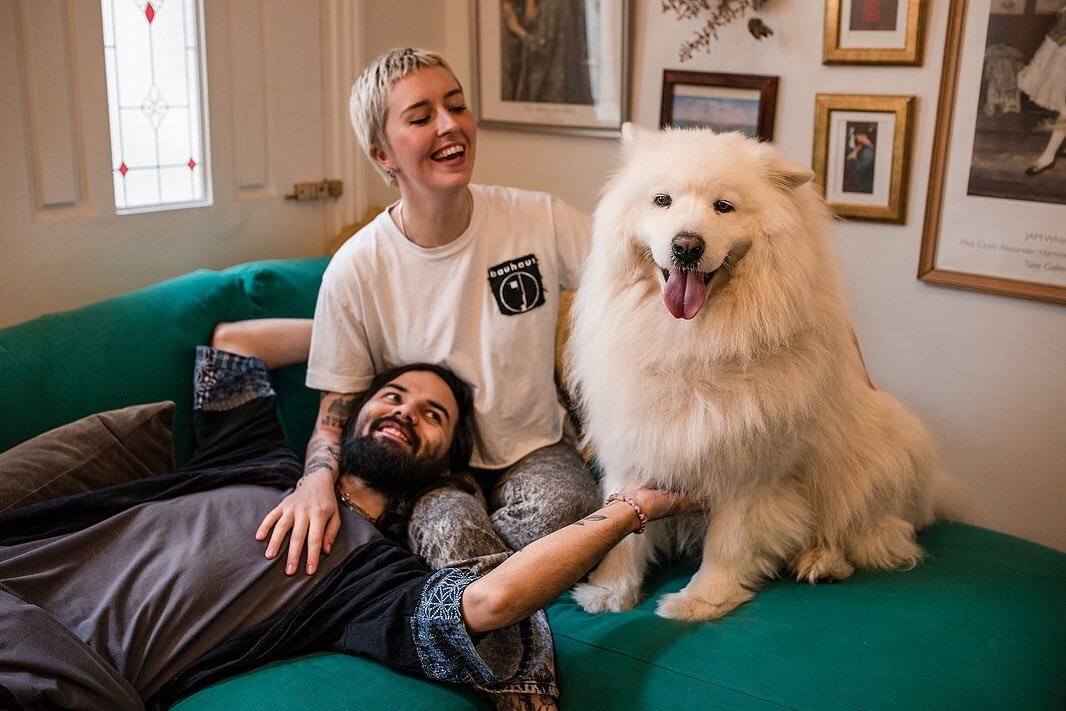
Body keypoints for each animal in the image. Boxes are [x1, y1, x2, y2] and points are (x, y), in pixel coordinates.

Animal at [571, 125, 963, 618]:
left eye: (723, 206)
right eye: (662, 200)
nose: (686, 246)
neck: (693, 338)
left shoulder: (752, 469)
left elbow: (729, 542)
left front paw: (702, 601)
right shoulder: (636, 446)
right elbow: (624, 533)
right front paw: (609, 591)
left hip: (878, 458)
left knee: (873, 533)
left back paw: (821, 560)